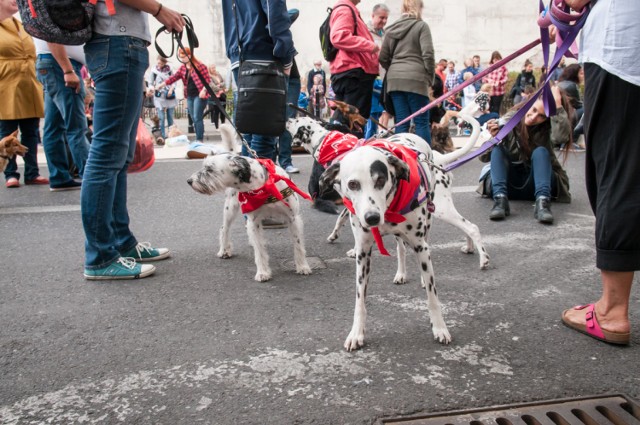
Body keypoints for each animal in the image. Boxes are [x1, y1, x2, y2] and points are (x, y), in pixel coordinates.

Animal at [188, 122, 312, 282]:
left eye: (209, 169)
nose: (189, 181)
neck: (263, 187)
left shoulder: (293, 219)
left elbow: (298, 246)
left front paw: (302, 266)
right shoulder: (254, 221)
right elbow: (259, 251)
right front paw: (263, 272)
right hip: (230, 208)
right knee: (224, 229)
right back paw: (224, 250)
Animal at [284, 105, 490, 270]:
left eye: (296, 120)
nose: (287, 117)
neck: (330, 143)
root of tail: (439, 159)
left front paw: (352, 249)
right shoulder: (353, 203)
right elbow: (341, 220)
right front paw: (335, 236)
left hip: (441, 209)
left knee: (471, 227)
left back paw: (484, 259)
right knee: (467, 226)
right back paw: (469, 248)